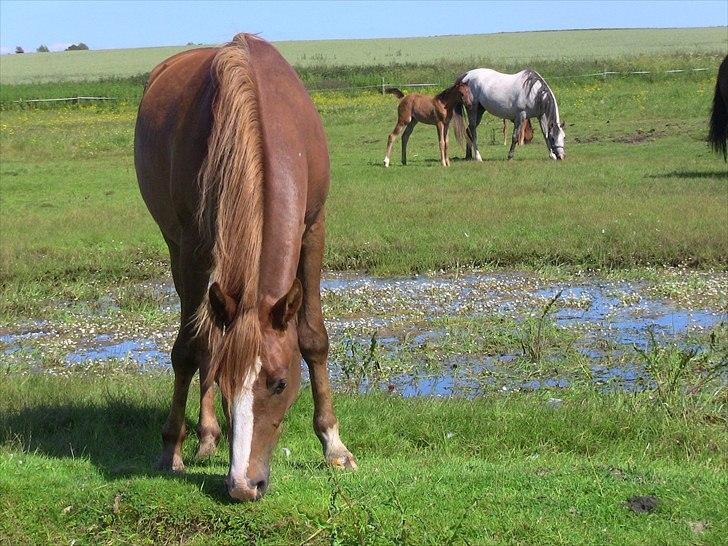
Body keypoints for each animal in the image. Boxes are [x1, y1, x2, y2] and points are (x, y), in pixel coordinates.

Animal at [135, 34, 356, 500]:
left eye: (279, 383)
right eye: (225, 382)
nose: (242, 485)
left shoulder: (314, 228)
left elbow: (313, 338)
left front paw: (334, 445)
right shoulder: (194, 246)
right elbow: (189, 349)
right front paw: (171, 449)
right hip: (180, 251)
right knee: (201, 337)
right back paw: (204, 435)